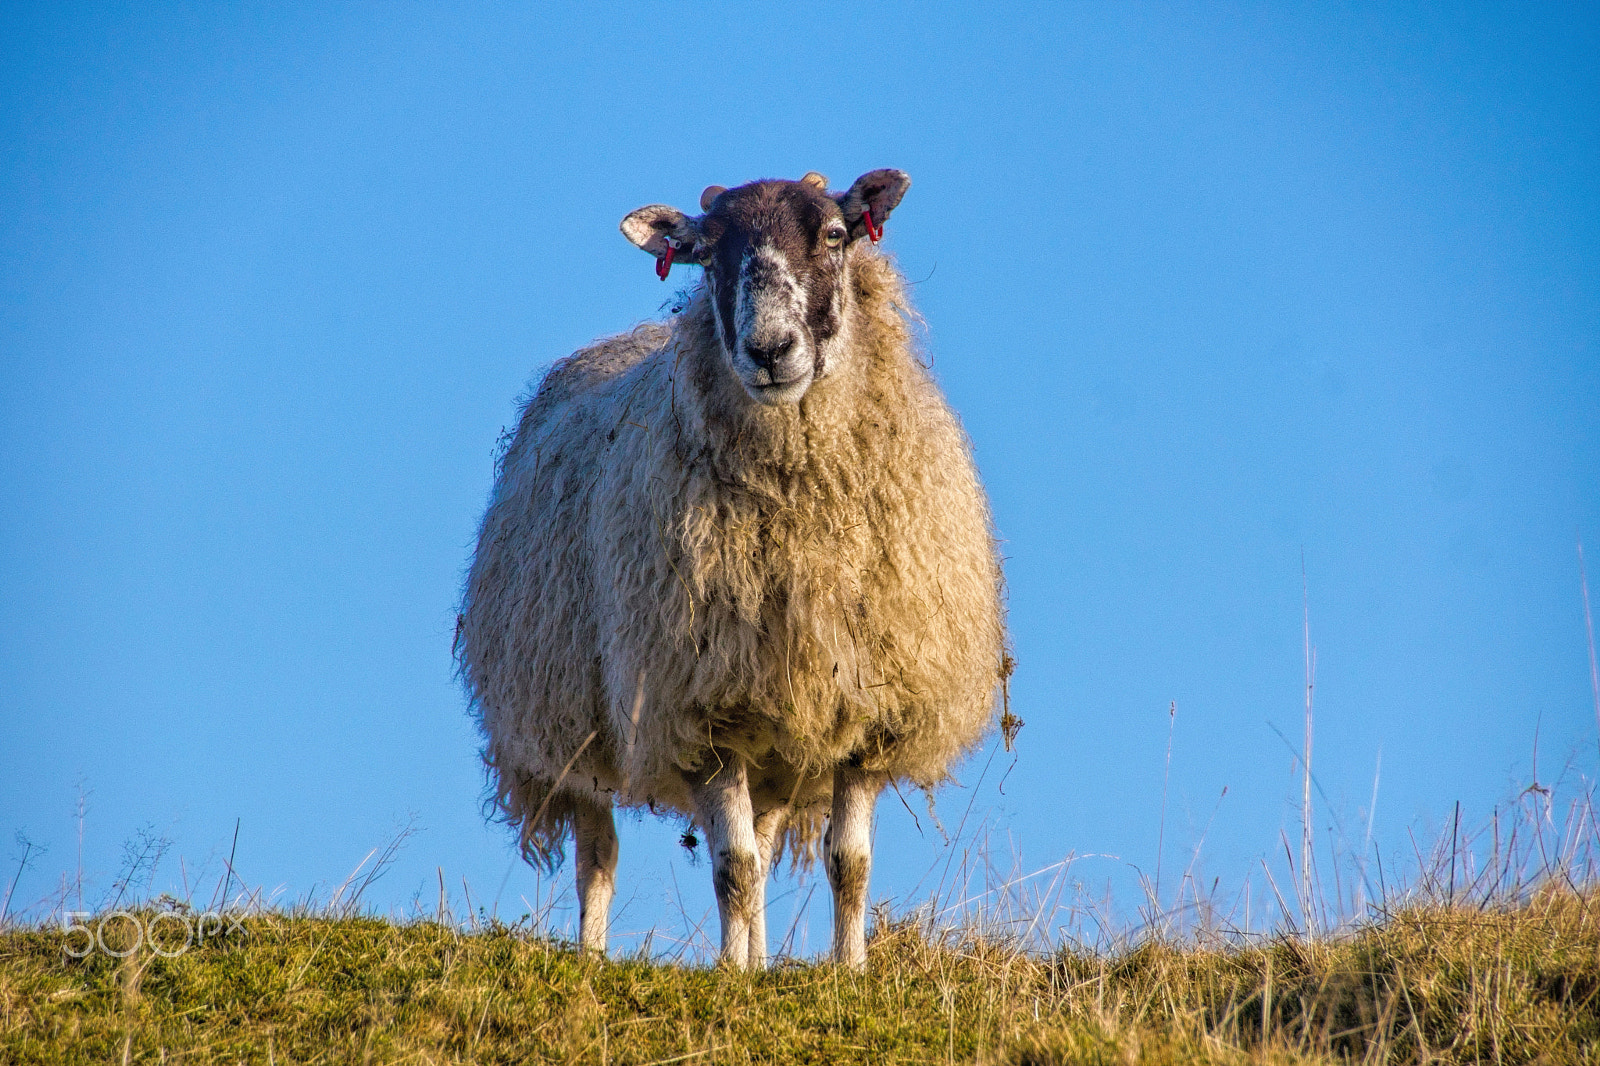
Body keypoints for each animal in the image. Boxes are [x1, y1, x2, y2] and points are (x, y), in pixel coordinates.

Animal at [457, 169, 1007, 969]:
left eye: (835, 234)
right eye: (707, 255)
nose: (770, 350)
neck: (803, 510)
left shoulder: (871, 708)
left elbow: (848, 864)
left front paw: (848, 971)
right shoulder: (699, 709)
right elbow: (733, 869)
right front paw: (732, 978)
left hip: (773, 740)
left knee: (765, 838)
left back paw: (761, 958)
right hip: (569, 723)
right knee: (601, 856)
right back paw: (595, 960)